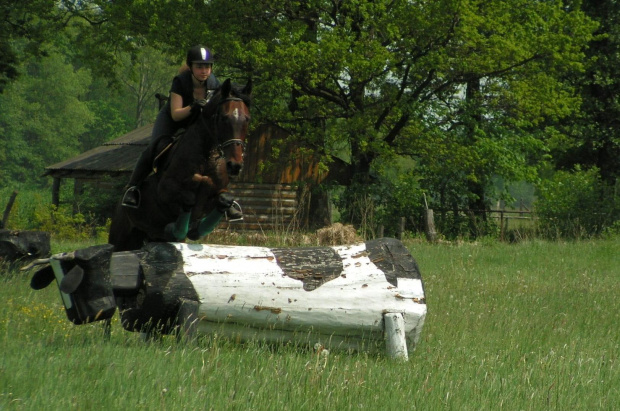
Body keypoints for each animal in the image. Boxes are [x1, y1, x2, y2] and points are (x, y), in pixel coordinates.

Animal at [109, 77, 252, 251]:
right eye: (224, 118)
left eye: (247, 119)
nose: (235, 165)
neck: (207, 156)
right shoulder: (165, 192)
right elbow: (188, 198)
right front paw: (180, 228)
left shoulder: (216, 192)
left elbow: (224, 199)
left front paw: (195, 230)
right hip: (121, 238)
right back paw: (131, 196)